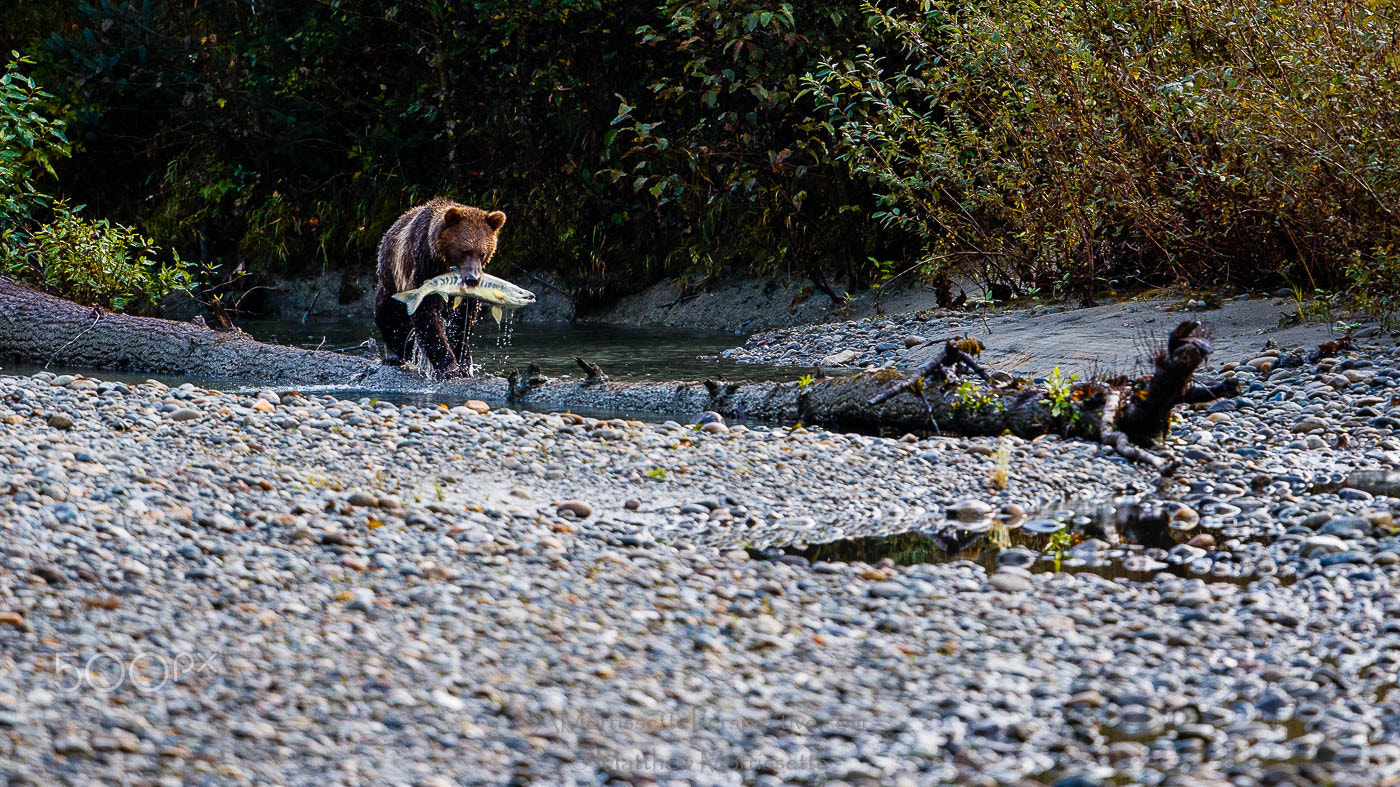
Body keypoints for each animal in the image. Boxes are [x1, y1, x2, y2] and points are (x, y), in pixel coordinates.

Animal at [375, 198, 506, 378]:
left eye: (482, 253)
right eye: (465, 251)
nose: (473, 279)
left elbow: (462, 320)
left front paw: (463, 365)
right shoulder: (424, 267)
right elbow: (425, 313)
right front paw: (449, 368)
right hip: (390, 279)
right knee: (388, 315)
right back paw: (397, 356)